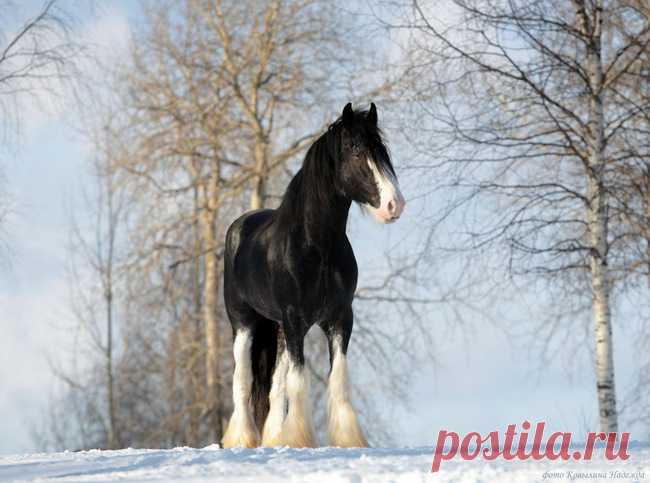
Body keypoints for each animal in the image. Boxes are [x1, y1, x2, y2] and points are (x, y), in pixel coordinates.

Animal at [223, 103, 404, 450]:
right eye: (357, 151)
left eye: (383, 152)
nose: (394, 205)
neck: (316, 247)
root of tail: (240, 225)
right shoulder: (296, 319)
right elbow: (298, 380)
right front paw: (299, 439)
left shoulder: (339, 318)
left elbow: (337, 378)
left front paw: (347, 440)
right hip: (245, 323)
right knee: (242, 379)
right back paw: (242, 439)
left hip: (279, 330)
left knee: (274, 386)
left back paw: (273, 438)